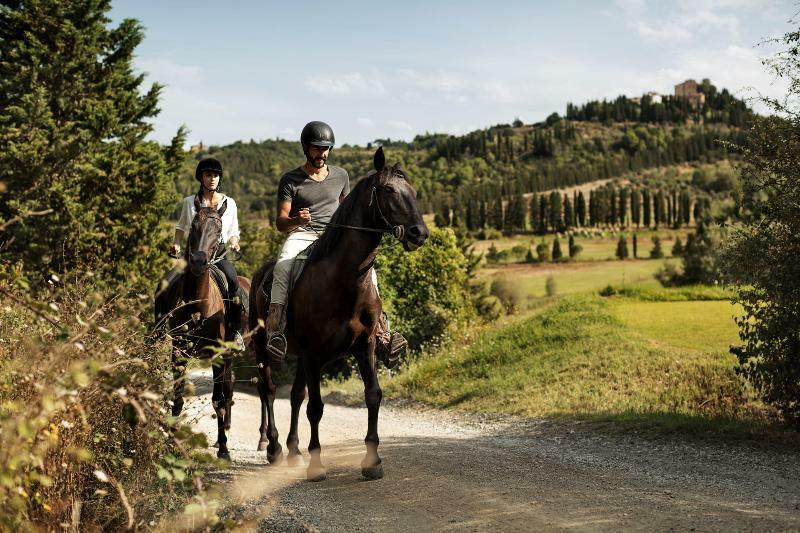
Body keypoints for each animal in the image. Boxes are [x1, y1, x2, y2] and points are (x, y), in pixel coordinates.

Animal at [152, 197, 248, 460]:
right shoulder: (179, 352)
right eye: (194, 224)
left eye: (218, 228)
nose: (198, 262)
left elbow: (218, 400)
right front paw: (171, 444)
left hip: (228, 354)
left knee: (227, 391)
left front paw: (224, 449)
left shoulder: (218, 355)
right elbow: (176, 398)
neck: (198, 301)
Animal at [250, 148, 428, 480]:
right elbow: (316, 407)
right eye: (388, 190)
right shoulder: (314, 352)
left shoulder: (364, 345)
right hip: (265, 348)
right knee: (268, 390)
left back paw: (294, 450)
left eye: (413, 192)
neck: (343, 280)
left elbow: (373, 395)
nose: (419, 233)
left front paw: (372, 461)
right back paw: (275, 448)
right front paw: (317, 465)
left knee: (295, 395)